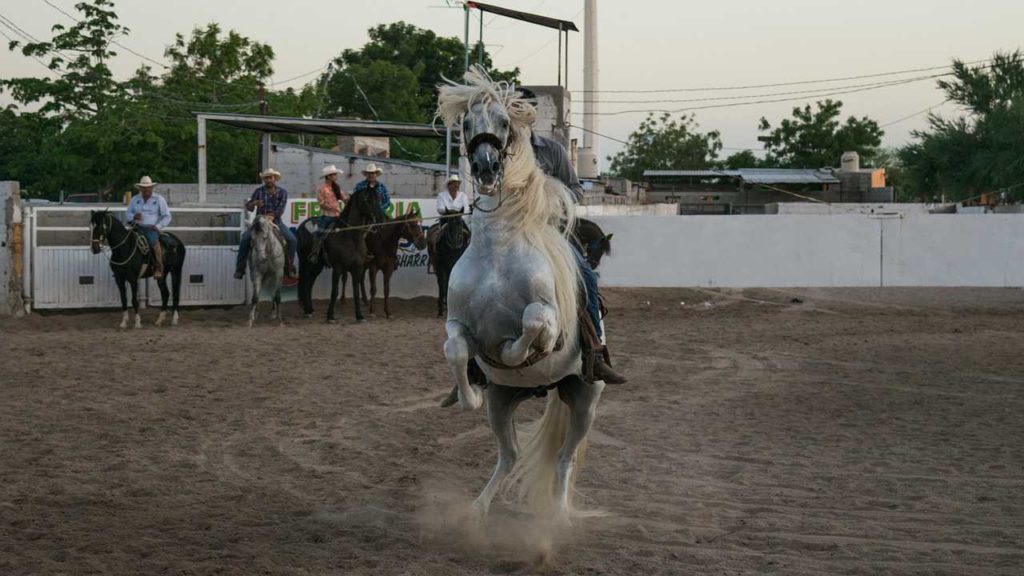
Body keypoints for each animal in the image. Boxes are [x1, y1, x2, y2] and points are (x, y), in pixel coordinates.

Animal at [296, 187, 385, 323]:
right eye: (366, 199)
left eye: (378, 198)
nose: (380, 218)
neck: (350, 236)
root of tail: (302, 225)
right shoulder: (338, 267)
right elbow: (335, 291)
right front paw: (330, 316)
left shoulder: (357, 268)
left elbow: (356, 292)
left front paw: (359, 316)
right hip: (306, 262)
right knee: (306, 282)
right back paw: (307, 310)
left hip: (317, 266)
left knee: (310, 282)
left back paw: (310, 309)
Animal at [436, 65, 602, 518]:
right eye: (467, 124)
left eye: (504, 122)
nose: (486, 166)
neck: (498, 250)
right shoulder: (456, 322)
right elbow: (456, 349)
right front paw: (468, 394)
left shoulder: (547, 317)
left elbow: (527, 328)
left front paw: (514, 352)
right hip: (503, 402)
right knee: (509, 455)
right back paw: (477, 509)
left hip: (586, 399)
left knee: (563, 458)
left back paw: (559, 517)